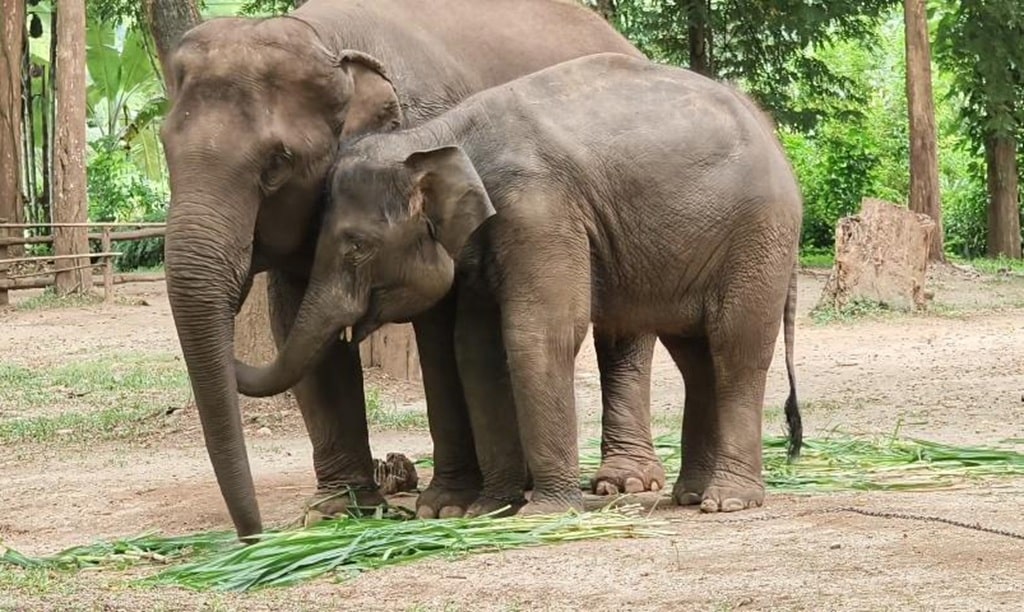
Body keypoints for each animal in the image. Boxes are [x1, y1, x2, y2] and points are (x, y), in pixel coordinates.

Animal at [159, 0, 668, 539]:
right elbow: (298, 325)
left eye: (277, 163)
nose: (254, 536)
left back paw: (625, 482)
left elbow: (440, 335)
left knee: (625, 328)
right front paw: (333, 512)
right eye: (164, 147)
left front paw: (444, 507)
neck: (322, 39)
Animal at [233, 52, 805, 517]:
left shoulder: (540, 210)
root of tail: (772, 134)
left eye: (355, 246)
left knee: (736, 346)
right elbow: (475, 350)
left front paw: (544, 513)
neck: (438, 136)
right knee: (695, 356)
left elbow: (538, 334)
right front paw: (487, 510)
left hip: (758, 235)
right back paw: (690, 496)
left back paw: (727, 501)